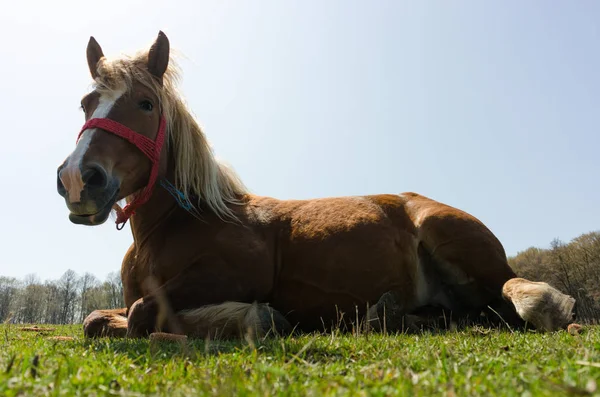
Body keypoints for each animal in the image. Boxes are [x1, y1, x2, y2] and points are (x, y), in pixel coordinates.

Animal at [57, 32, 576, 338]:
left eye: (145, 104)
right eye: (86, 103)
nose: (79, 179)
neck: (177, 224)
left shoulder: (240, 275)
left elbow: (144, 313)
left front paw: (255, 318)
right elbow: (96, 319)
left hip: (455, 239)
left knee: (512, 293)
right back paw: (390, 315)